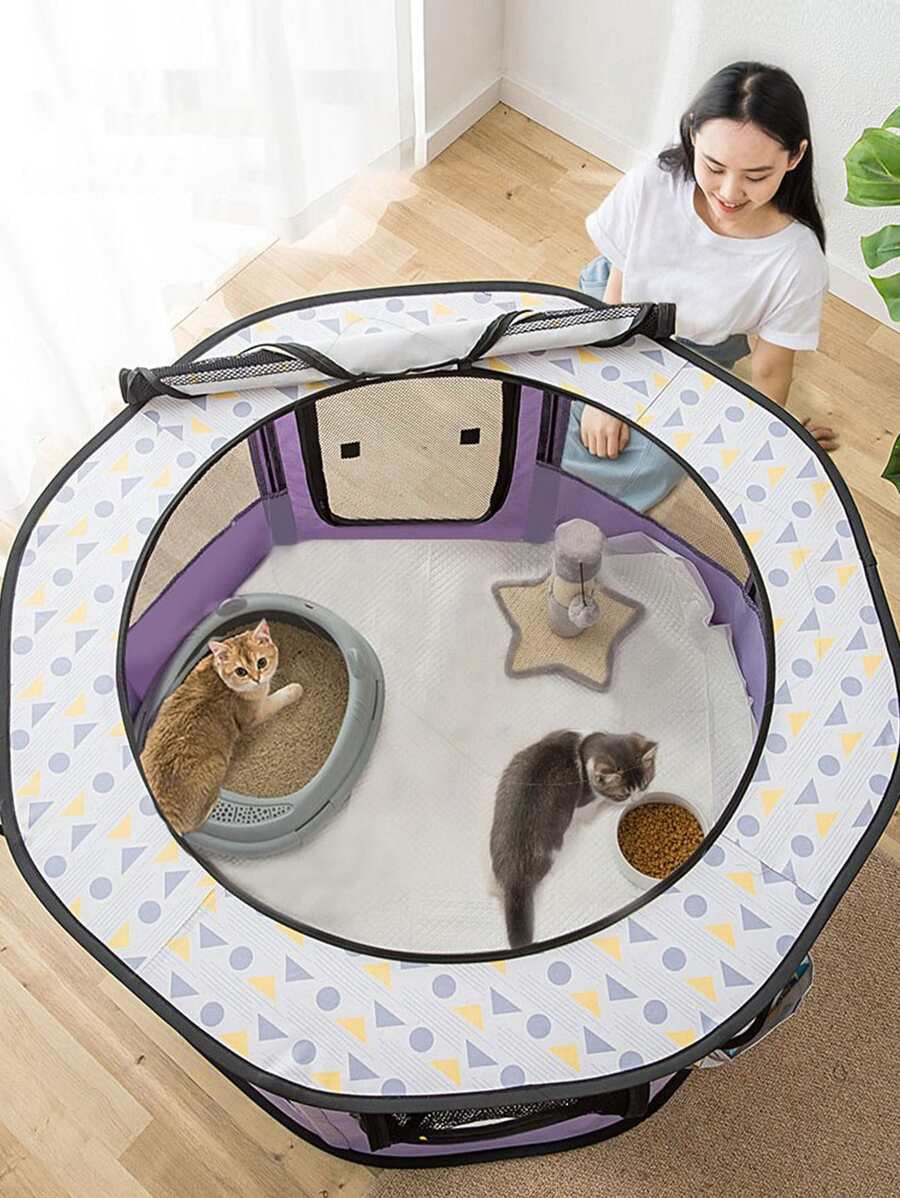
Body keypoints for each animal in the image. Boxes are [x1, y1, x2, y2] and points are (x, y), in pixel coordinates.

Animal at [141, 619, 303, 835]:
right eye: (241, 671)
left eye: (261, 662)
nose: (257, 678)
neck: (220, 677)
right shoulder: (255, 714)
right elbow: (279, 697)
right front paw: (294, 689)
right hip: (218, 761)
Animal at [489, 730, 657, 949]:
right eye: (623, 795)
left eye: (644, 785)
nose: (637, 800)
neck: (583, 748)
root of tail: (515, 879)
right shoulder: (585, 804)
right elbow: (591, 811)